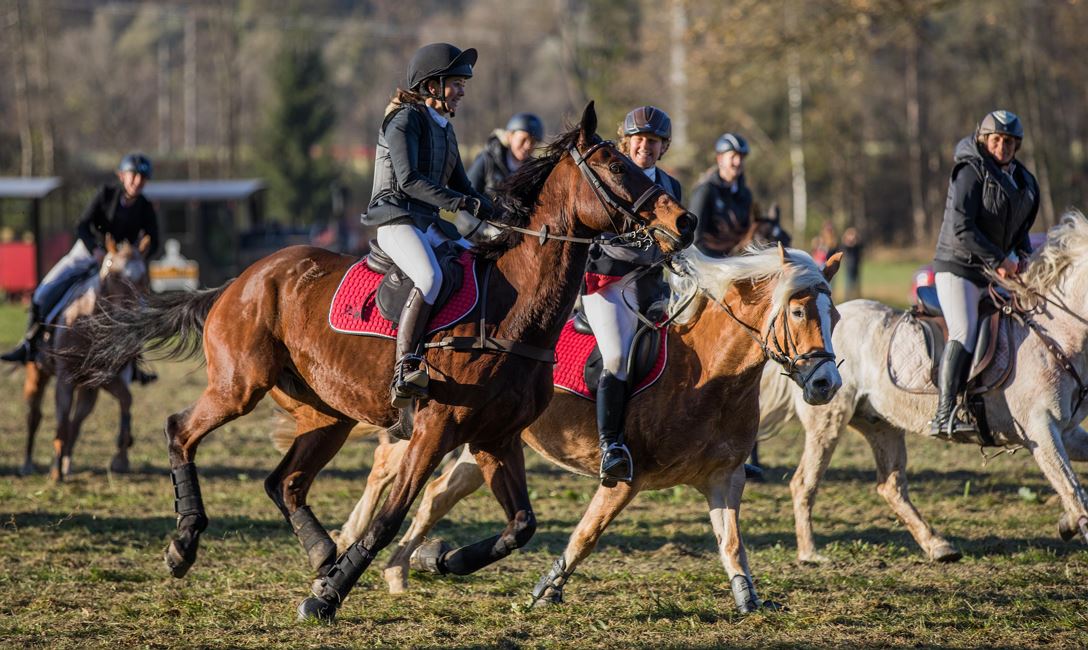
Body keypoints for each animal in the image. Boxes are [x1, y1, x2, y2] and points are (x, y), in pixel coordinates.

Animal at [19, 236, 151, 479]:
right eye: (112, 275)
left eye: (143, 277)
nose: (130, 318)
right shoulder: (65, 379)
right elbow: (61, 421)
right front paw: (55, 472)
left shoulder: (105, 378)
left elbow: (126, 401)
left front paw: (121, 457)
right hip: (37, 374)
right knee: (35, 415)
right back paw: (29, 464)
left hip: (88, 389)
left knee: (77, 421)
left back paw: (66, 463)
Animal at [76, 103, 691, 622]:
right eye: (615, 164)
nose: (685, 223)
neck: (513, 311)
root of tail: (240, 280)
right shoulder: (434, 430)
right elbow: (391, 516)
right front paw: (328, 599)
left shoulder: (496, 439)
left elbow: (521, 525)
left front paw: (439, 560)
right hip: (239, 387)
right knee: (181, 431)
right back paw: (185, 544)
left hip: (327, 414)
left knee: (285, 482)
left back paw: (323, 556)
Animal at [328, 246, 839, 609]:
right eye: (798, 312)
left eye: (834, 316)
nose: (826, 383)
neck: (713, 374)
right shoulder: (626, 478)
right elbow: (586, 534)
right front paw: (547, 589)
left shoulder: (724, 478)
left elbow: (732, 544)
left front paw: (748, 600)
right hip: (433, 430)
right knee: (387, 471)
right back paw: (346, 545)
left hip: (481, 445)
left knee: (436, 494)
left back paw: (404, 567)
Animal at [761, 209, 1088, 561]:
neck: (1060, 334)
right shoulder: (1040, 429)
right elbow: (1072, 487)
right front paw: (1074, 522)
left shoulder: (1067, 431)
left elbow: (1072, 485)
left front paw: (1067, 522)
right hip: (828, 420)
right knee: (804, 482)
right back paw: (810, 553)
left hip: (881, 424)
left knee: (890, 486)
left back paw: (937, 545)